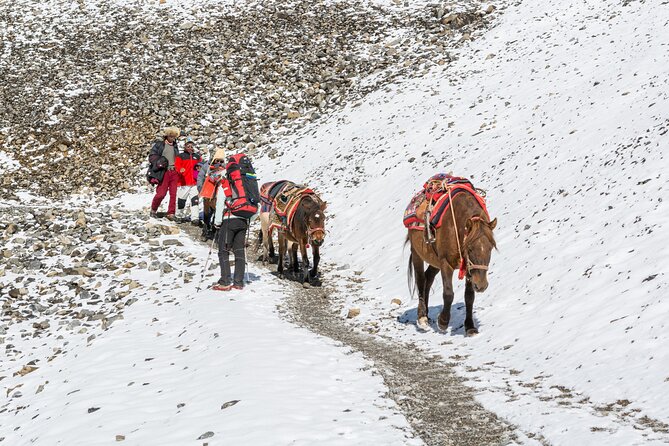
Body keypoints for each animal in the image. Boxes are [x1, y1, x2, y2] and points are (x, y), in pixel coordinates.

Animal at [402, 174, 496, 334]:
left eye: (490, 248)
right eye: (470, 248)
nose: (481, 286)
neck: (456, 225)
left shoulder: (469, 268)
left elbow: (469, 296)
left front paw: (470, 327)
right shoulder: (446, 263)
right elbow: (448, 293)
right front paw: (443, 322)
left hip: (435, 260)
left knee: (428, 278)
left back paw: (427, 314)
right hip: (417, 254)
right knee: (421, 280)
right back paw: (422, 318)